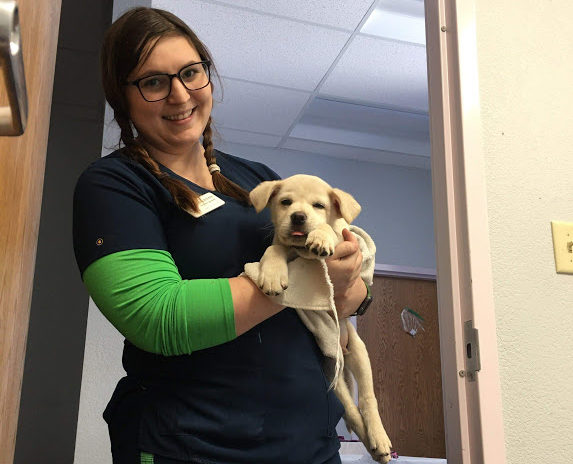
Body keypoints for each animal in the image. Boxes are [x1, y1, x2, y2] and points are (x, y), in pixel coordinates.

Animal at [250, 175, 394, 464]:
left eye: (319, 205)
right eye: (286, 202)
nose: (298, 217)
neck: (300, 253)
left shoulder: (346, 237)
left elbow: (330, 228)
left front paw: (321, 236)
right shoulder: (283, 245)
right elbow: (274, 248)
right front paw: (271, 274)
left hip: (359, 354)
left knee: (368, 400)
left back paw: (380, 438)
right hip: (333, 377)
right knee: (351, 411)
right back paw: (372, 445)